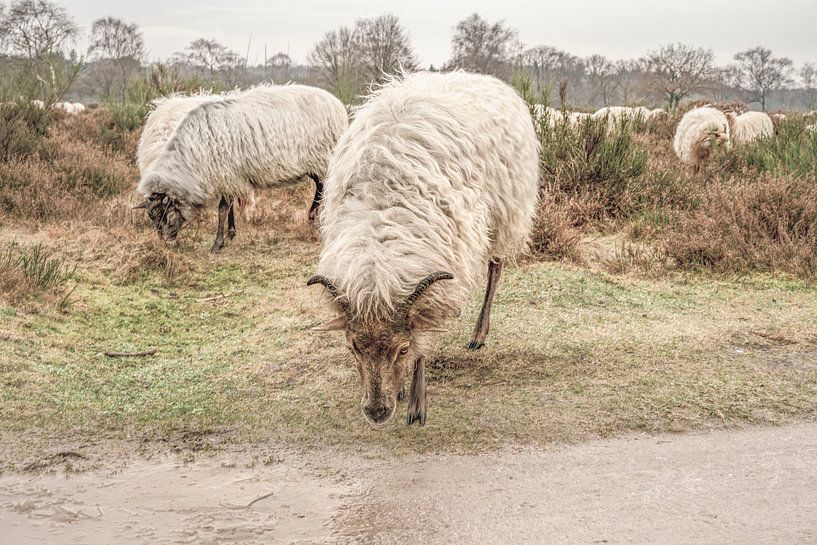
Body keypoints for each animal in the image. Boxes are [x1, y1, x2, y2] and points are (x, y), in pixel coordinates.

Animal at [136, 84, 349, 252]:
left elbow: (222, 209)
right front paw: (230, 234)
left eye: (165, 213)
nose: (165, 242)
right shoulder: (229, 178)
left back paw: (314, 218)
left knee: (324, 188)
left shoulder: (228, 174)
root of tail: (337, 103)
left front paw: (217, 243)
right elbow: (228, 207)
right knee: (320, 186)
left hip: (323, 157)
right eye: (152, 218)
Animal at [307, 71, 540, 427]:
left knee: (495, 268)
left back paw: (479, 333)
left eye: (402, 349)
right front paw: (401, 389)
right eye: (352, 348)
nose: (376, 413)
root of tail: (480, 76)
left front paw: (416, 403)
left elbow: (424, 336)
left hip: (503, 214)